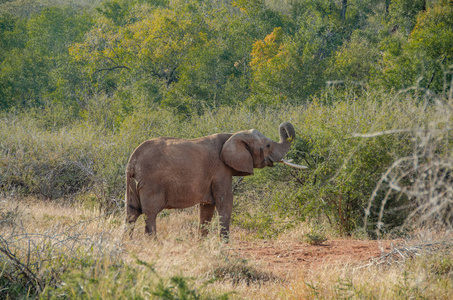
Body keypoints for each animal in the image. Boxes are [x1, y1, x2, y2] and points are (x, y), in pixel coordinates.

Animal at [123, 120, 304, 240]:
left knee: (131, 213)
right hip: (151, 183)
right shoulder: (220, 171)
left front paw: (201, 243)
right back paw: (153, 243)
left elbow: (207, 208)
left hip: (133, 183)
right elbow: (225, 202)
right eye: (267, 146)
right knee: (150, 213)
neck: (232, 135)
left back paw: (127, 244)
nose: (283, 125)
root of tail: (132, 161)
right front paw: (225, 244)